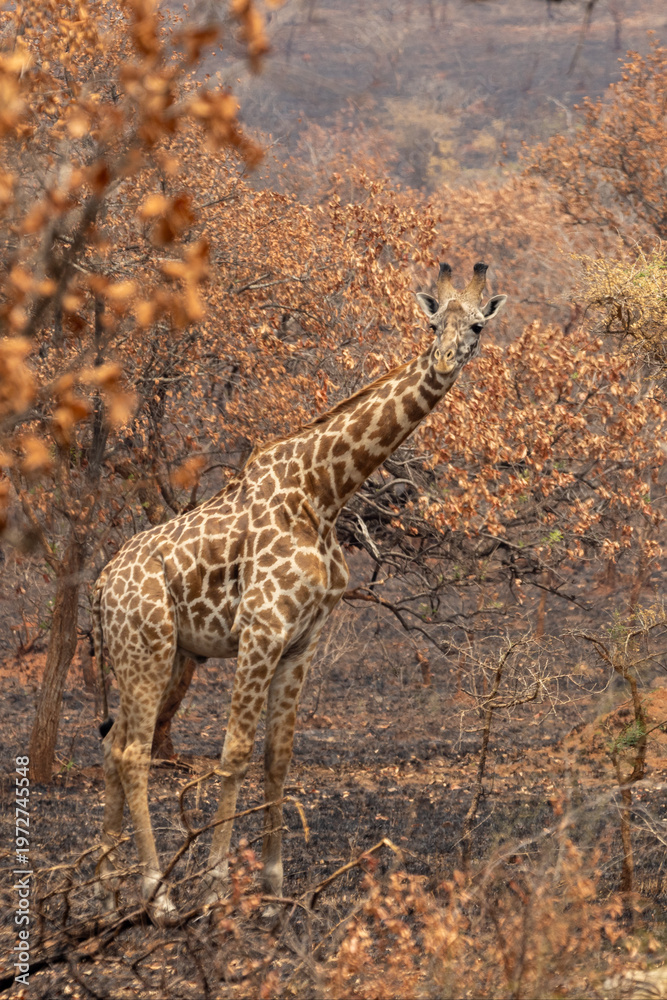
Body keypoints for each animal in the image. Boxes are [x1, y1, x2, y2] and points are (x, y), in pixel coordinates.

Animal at [93, 261, 507, 919]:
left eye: (476, 326)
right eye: (431, 321)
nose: (444, 360)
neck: (325, 493)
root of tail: (103, 584)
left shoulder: (302, 640)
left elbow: (277, 757)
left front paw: (273, 888)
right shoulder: (261, 629)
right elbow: (235, 752)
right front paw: (216, 889)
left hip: (158, 654)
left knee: (114, 749)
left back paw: (108, 888)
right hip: (147, 651)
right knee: (133, 754)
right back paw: (158, 898)